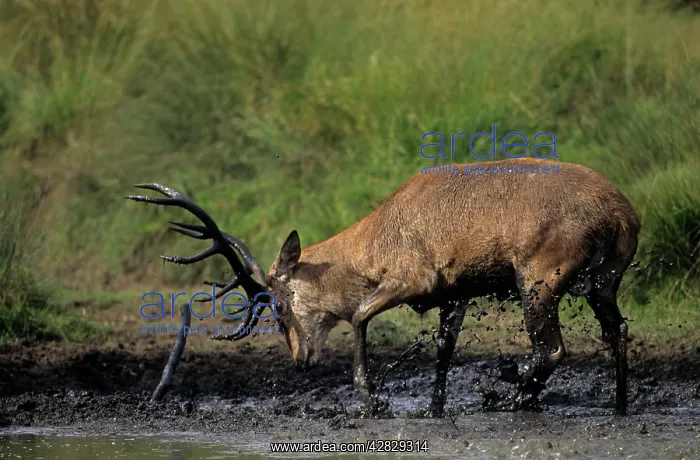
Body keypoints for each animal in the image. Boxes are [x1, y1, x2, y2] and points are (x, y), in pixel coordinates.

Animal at [126, 157, 640, 417]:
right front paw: (433, 409)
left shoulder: (412, 279)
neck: (375, 238)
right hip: (602, 284)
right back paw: (619, 407)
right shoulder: (455, 294)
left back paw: (508, 393)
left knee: (552, 349)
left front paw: (373, 400)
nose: (300, 359)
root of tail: (619, 212)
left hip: (537, 281)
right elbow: (443, 348)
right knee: (617, 333)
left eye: (278, 304)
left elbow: (357, 315)